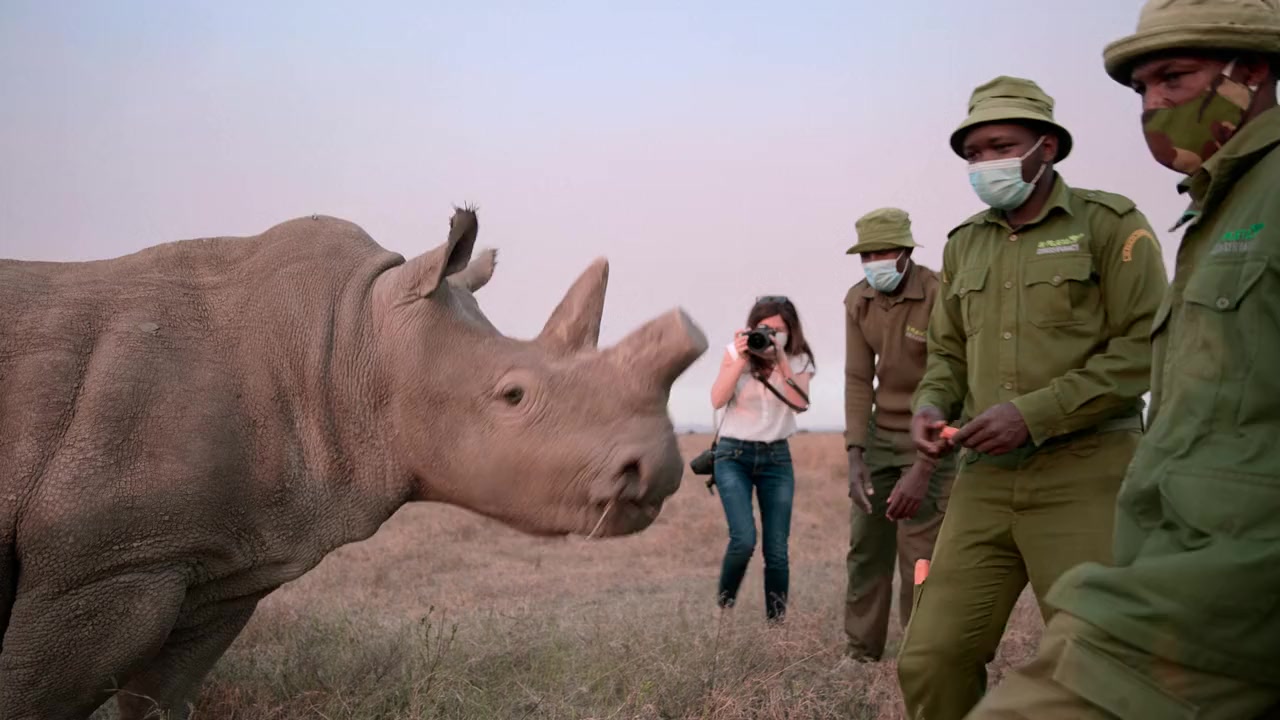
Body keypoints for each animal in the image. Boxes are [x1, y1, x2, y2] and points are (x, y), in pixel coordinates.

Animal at [0, 207, 707, 720]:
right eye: (513, 396)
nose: (658, 470)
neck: (351, 339)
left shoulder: (217, 556)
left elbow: (161, 697)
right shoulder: (104, 563)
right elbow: (36, 700)